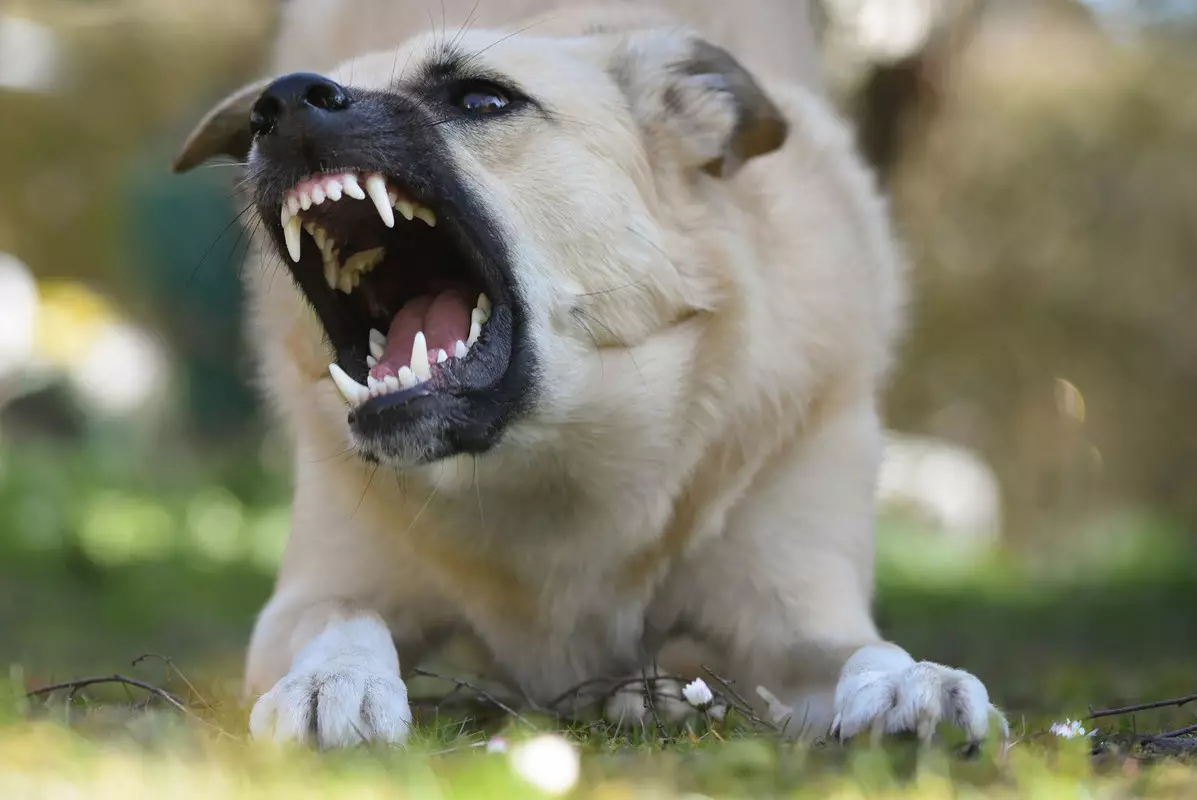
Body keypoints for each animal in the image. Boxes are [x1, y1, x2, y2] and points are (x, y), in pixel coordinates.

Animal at [173, 1, 1005, 752]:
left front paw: (909, 682)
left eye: (482, 99)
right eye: (263, 111)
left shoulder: (794, 612)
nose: (280, 103)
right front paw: (332, 682)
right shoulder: (316, 591)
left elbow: (860, 648)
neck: (547, 466)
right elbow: (344, 620)